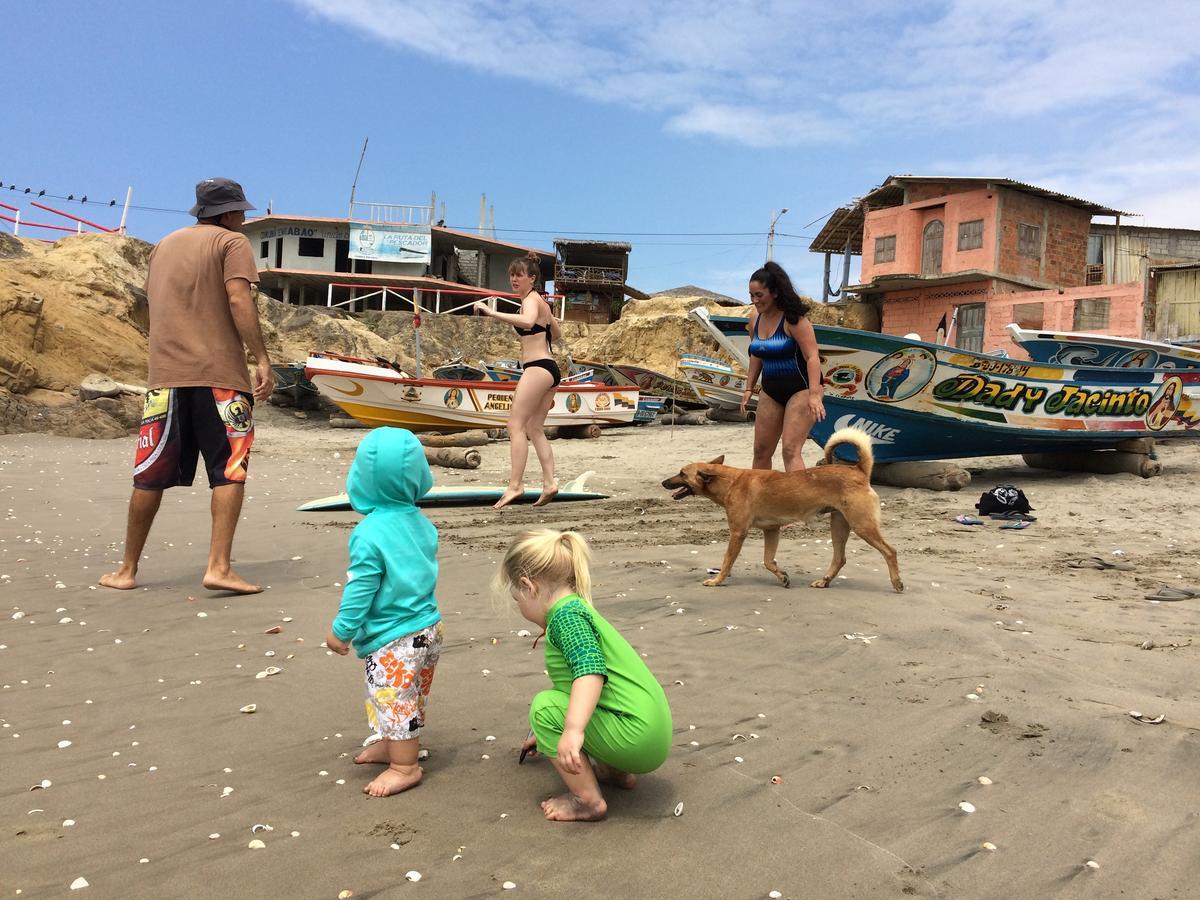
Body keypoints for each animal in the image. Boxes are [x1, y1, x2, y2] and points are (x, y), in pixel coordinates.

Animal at [662, 427, 902, 595]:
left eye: (681, 473)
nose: (664, 482)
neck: (729, 481)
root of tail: (859, 470)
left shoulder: (738, 533)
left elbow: (727, 562)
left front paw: (717, 580)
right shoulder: (772, 530)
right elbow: (768, 561)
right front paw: (782, 576)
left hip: (862, 525)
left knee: (889, 551)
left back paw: (897, 582)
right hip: (839, 525)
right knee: (839, 558)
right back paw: (824, 581)